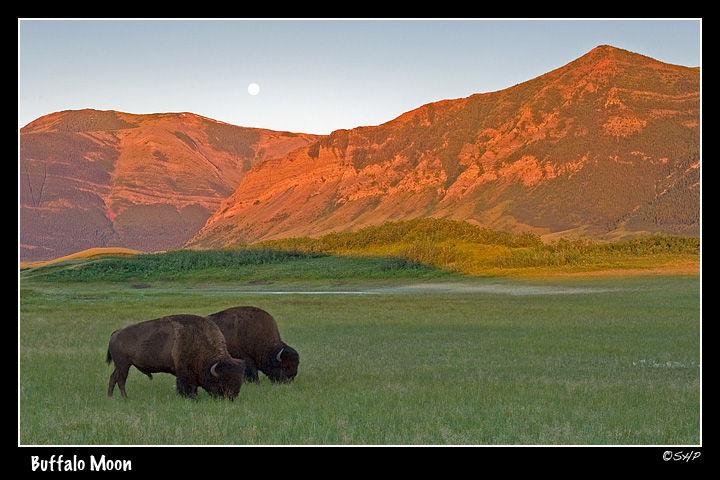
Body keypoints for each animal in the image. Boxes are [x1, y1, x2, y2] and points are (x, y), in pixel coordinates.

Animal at [106, 314, 245, 400]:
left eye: (238, 381)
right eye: (221, 382)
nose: (231, 397)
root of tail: (116, 332)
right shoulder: (184, 372)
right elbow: (186, 386)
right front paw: (191, 398)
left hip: (120, 366)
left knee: (113, 378)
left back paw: (110, 397)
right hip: (124, 365)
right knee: (121, 380)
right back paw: (125, 398)